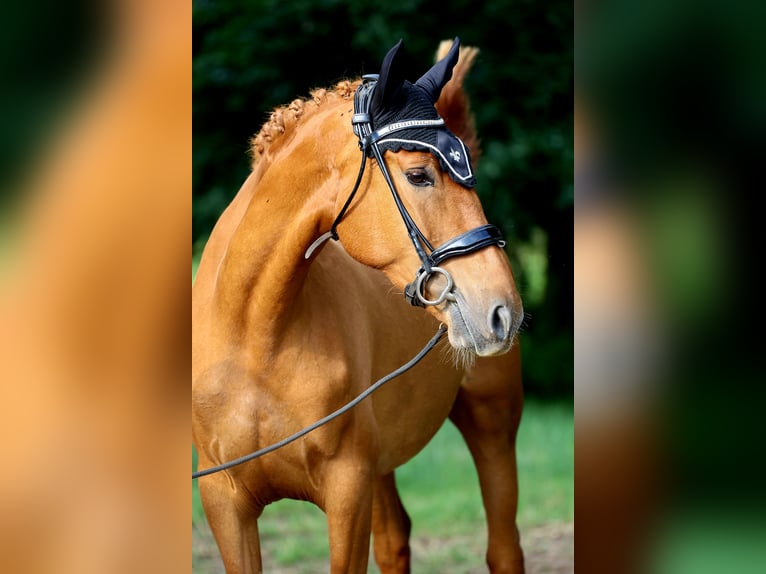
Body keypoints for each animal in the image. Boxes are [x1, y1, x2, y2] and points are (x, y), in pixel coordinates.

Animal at [192, 38, 528, 572]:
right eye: (419, 175)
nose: (503, 311)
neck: (255, 339)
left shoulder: (347, 490)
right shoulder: (225, 504)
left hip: (492, 421)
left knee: (503, 547)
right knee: (395, 540)